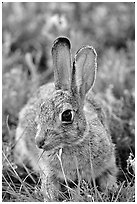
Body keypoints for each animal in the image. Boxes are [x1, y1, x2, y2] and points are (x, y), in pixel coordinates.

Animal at [14, 36, 117, 201]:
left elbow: (109, 177)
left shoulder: (109, 163)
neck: (73, 144)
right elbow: (50, 188)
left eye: (67, 115)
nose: (39, 142)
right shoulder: (48, 172)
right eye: (41, 109)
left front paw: (111, 190)